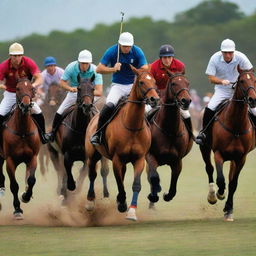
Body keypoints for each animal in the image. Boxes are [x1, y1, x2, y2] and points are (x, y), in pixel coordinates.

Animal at [0, 77, 40, 218]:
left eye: (32, 88)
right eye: (17, 88)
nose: (26, 106)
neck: (22, 131)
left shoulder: (33, 157)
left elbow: (31, 179)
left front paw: (26, 196)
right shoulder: (10, 160)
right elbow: (14, 185)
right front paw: (17, 209)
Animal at [84, 67, 160, 221]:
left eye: (154, 81)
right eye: (142, 82)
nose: (154, 99)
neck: (132, 126)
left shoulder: (139, 159)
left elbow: (136, 185)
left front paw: (131, 211)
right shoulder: (117, 159)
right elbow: (119, 182)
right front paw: (122, 203)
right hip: (93, 154)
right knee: (92, 174)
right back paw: (90, 202)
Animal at [146, 71, 192, 208]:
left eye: (187, 83)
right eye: (173, 83)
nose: (186, 101)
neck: (170, 130)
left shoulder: (177, 161)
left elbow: (174, 183)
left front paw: (167, 195)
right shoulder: (150, 155)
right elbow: (154, 177)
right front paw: (153, 195)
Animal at [200, 69, 256, 221]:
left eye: (255, 80)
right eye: (241, 81)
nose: (252, 100)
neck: (236, 125)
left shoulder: (241, 158)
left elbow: (233, 183)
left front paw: (229, 209)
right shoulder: (218, 153)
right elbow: (220, 179)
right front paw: (219, 194)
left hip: (234, 159)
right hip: (204, 147)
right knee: (209, 169)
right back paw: (212, 196)